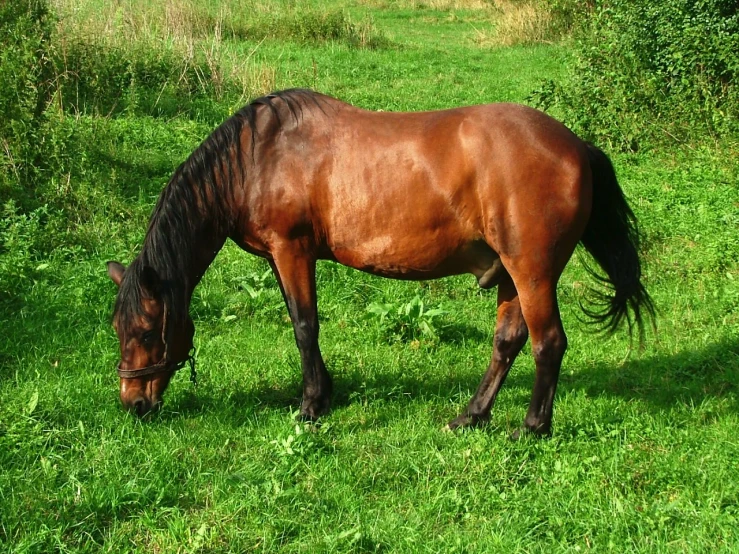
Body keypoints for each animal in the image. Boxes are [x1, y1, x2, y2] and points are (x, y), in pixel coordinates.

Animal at [108, 88, 652, 436]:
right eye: (119, 330)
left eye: (146, 331)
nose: (133, 404)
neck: (258, 157)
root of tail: (576, 146)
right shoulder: (283, 257)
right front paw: (325, 394)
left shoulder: (292, 250)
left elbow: (304, 326)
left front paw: (310, 405)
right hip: (511, 276)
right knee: (508, 342)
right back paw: (471, 416)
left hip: (533, 273)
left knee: (548, 343)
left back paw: (533, 426)